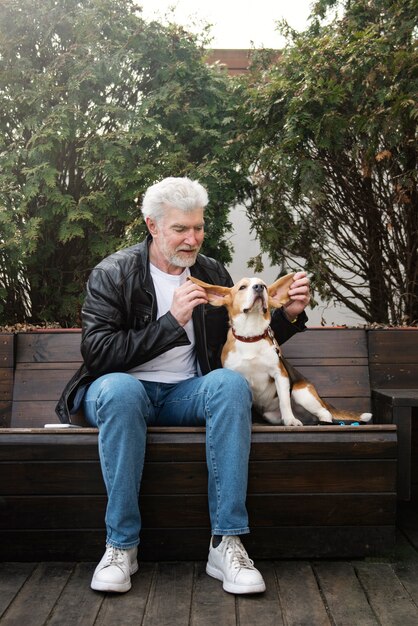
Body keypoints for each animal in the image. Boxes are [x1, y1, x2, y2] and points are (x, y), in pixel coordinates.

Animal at [189, 272, 372, 424]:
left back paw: (321, 421)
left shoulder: (281, 375)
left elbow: (284, 402)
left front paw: (290, 421)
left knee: (324, 412)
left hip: (300, 392)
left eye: (263, 285)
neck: (251, 336)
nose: (259, 287)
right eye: (242, 287)